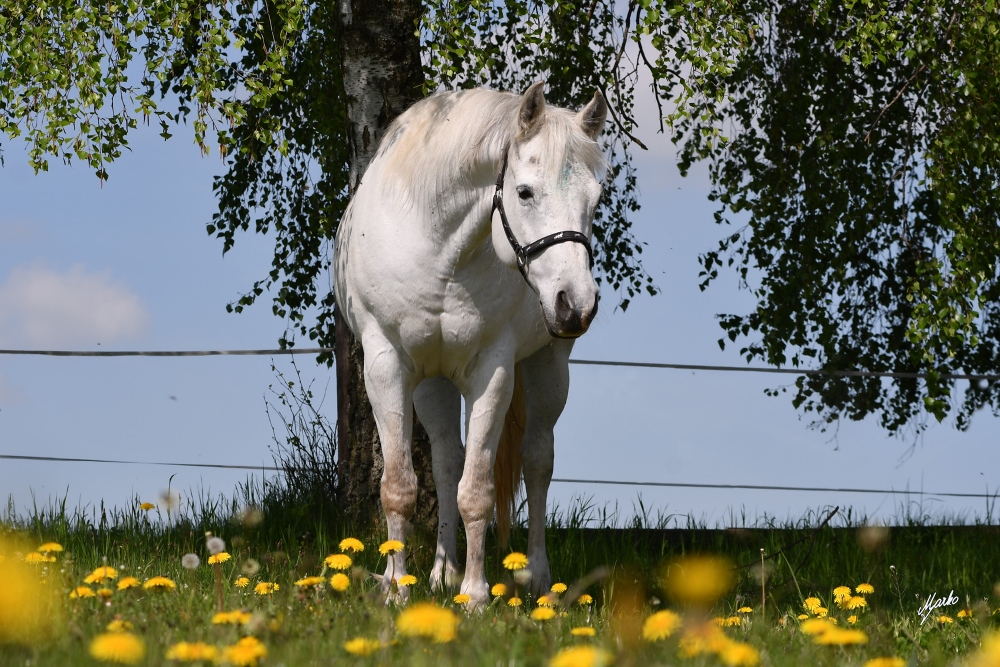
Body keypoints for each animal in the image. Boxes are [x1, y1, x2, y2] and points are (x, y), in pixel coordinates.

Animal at [336, 81, 604, 608]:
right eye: (524, 192)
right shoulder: (386, 364)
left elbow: (477, 490)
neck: (439, 248)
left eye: (595, 199)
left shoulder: (491, 372)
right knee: (446, 461)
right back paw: (441, 574)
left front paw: (476, 595)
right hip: (432, 382)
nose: (576, 305)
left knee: (537, 461)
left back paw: (537, 579)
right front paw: (396, 589)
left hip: (549, 366)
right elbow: (401, 486)